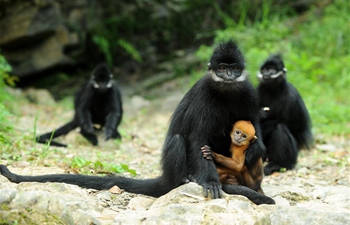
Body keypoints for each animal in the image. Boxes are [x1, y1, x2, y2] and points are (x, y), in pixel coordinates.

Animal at [0, 39, 274, 205]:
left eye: (234, 68)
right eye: (223, 67)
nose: (229, 75)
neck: (226, 91)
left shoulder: (247, 91)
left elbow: (254, 126)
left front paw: (256, 149)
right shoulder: (204, 93)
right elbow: (197, 138)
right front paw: (209, 182)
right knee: (178, 139)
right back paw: (187, 180)